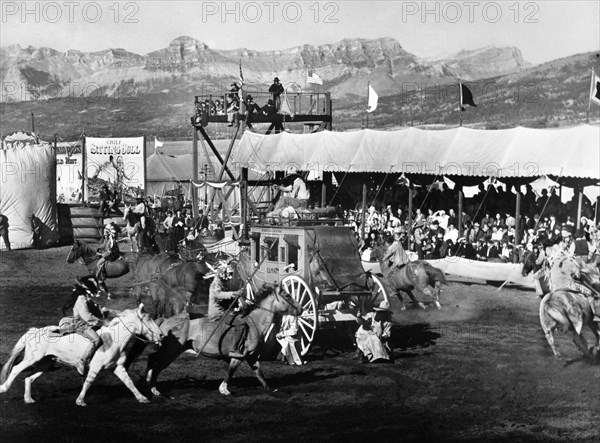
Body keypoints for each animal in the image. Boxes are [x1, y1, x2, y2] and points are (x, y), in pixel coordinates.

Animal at [0, 306, 164, 406]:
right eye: (148, 319)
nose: (161, 335)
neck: (113, 340)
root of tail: (34, 331)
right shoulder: (95, 367)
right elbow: (88, 382)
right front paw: (80, 401)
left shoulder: (118, 367)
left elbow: (129, 383)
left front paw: (142, 398)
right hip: (32, 359)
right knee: (15, 369)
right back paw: (3, 388)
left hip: (44, 363)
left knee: (29, 378)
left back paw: (28, 399)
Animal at [135, 284, 300, 398]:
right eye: (287, 295)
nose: (301, 309)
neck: (254, 322)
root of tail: (166, 320)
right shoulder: (238, 356)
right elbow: (231, 372)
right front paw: (224, 389)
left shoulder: (251, 356)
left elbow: (259, 374)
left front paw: (270, 390)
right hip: (171, 352)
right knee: (157, 366)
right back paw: (154, 389)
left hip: (166, 350)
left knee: (152, 359)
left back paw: (145, 381)